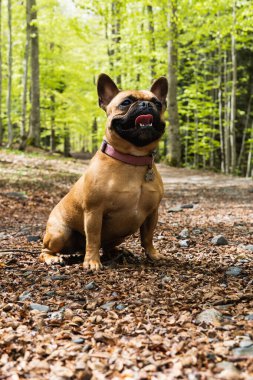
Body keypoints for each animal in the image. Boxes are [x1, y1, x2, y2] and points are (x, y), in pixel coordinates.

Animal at [40, 74, 168, 270]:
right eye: (126, 102)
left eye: (158, 103)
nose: (146, 104)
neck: (133, 159)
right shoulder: (94, 211)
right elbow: (93, 238)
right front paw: (92, 262)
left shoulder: (152, 212)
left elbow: (148, 237)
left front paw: (153, 254)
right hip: (59, 233)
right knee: (45, 250)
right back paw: (53, 258)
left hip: (119, 234)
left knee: (107, 246)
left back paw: (118, 252)